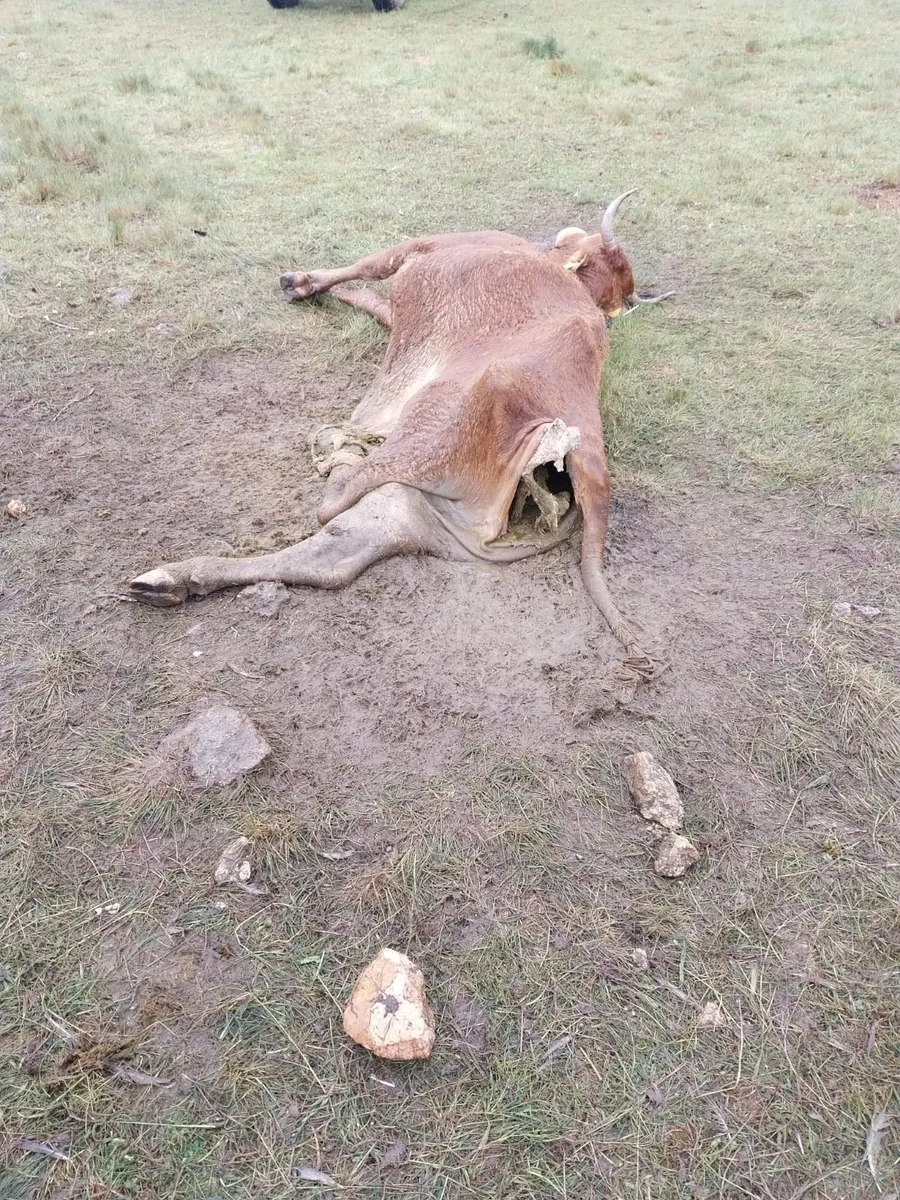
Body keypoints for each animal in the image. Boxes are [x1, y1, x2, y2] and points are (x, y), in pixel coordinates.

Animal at [128, 193, 666, 692]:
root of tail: (586, 461)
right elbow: (371, 296)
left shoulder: (420, 247)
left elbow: (371, 265)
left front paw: (298, 281)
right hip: (422, 512)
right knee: (335, 555)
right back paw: (171, 581)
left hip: (429, 427)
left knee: (336, 499)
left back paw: (337, 450)